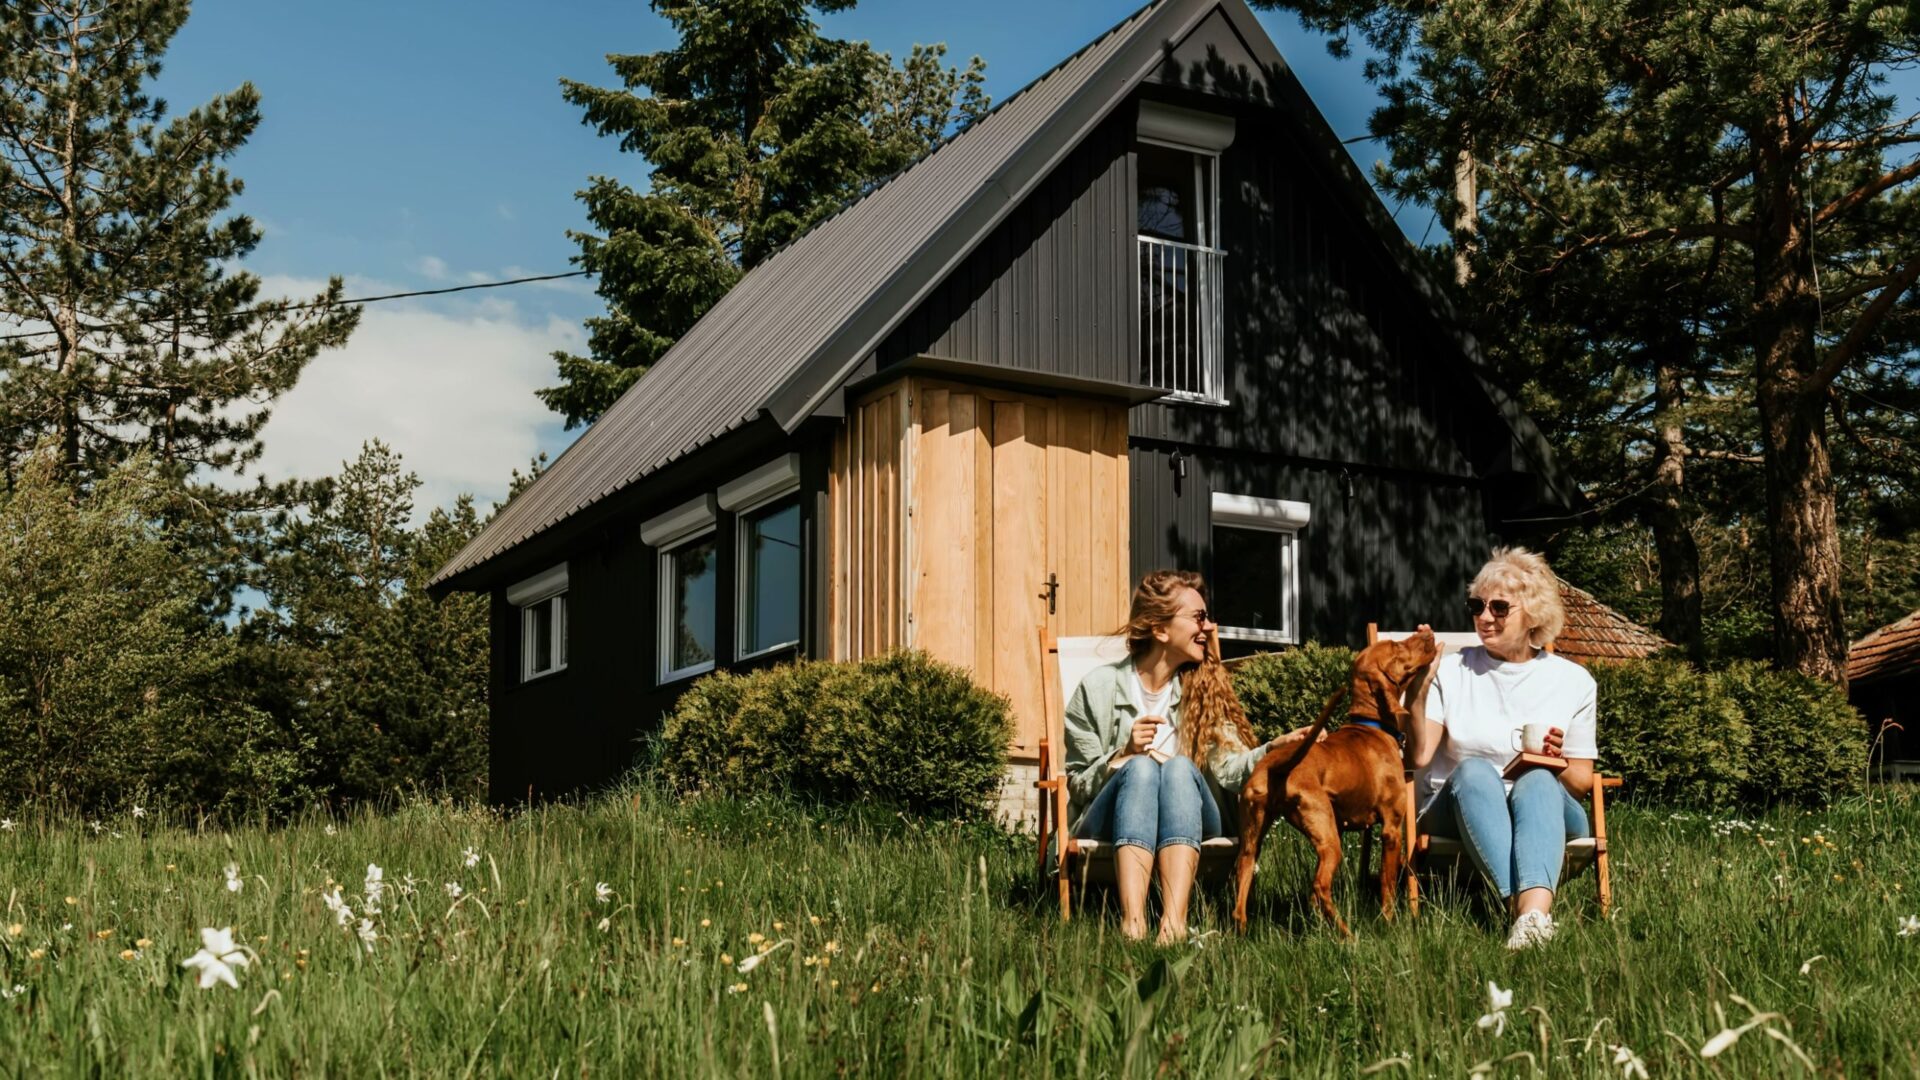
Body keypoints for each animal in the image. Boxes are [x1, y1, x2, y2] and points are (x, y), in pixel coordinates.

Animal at [1236, 622, 1436, 933]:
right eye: (1397, 646)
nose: (1426, 632)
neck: (1372, 726)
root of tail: (1279, 766)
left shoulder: (1344, 826)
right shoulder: (1391, 828)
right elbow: (1388, 884)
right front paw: (1389, 923)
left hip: (1256, 837)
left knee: (1244, 884)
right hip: (1330, 841)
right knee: (1319, 886)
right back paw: (1346, 934)